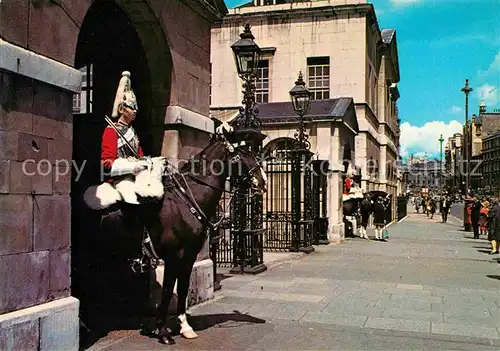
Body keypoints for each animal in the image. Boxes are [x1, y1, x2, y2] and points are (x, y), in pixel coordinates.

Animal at [99, 133, 268, 346]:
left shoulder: (189, 255)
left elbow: (183, 287)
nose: (263, 182)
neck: (187, 201)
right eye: (243, 155)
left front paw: (185, 326)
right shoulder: (173, 256)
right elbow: (167, 290)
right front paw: (163, 331)